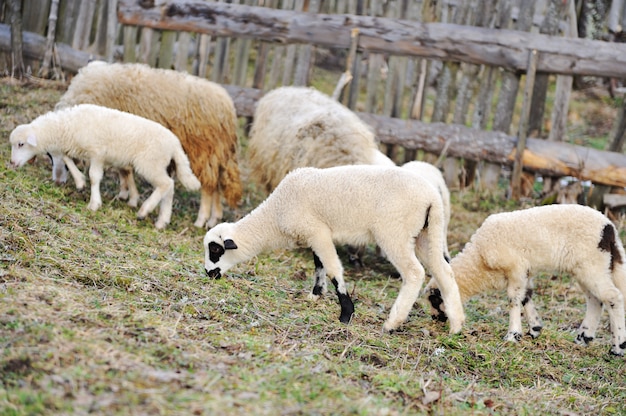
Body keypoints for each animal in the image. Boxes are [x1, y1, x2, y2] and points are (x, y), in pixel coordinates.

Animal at [9, 103, 200, 229]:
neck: (67, 126)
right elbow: (67, 158)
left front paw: (94, 203)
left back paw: (144, 211)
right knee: (169, 189)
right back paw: (162, 221)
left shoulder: (97, 153)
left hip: (150, 163)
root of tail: (175, 143)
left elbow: (95, 177)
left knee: (166, 184)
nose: (12, 163)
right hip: (162, 166)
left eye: (21, 144)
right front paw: (80, 182)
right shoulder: (77, 148)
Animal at [53, 62, 241, 228]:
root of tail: (228, 107)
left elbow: (125, 169)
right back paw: (213, 218)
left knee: (207, 187)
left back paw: (200, 219)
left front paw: (130, 197)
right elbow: (124, 169)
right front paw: (126, 194)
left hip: (203, 151)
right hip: (216, 153)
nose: (57, 182)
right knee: (216, 184)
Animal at [204, 164, 464, 334]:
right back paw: (456, 325)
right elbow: (319, 264)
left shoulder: (316, 230)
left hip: (395, 232)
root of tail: (432, 196)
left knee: (414, 273)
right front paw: (315, 295)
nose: (208, 274)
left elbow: (332, 268)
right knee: (445, 272)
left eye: (215, 250)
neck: (275, 215)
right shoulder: (316, 233)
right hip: (427, 233)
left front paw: (346, 314)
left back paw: (393, 323)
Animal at [424, 203, 624, 356]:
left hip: (592, 264)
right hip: (587, 268)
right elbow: (526, 296)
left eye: (434, 300)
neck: (479, 259)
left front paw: (513, 335)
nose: (434, 319)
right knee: (595, 300)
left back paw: (618, 348)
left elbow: (513, 300)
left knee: (612, 297)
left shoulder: (516, 269)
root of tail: (609, 229)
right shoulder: (525, 272)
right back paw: (583, 338)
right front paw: (535, 328)